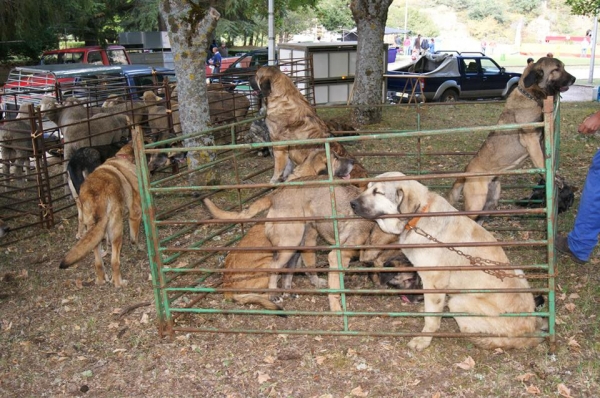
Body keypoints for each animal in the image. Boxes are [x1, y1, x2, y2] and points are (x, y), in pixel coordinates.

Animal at [352, 169, 548, 350]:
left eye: (378, 192)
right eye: (368, 188)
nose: (351, 203)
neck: (418, 217)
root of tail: (530, 328)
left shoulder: (434, 281)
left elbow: (431, 318)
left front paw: (423, 339)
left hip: (460, 301)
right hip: (518, 271)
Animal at [448, 57, 576, 222]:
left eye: (563, 67)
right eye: (556, 69)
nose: (574, 79)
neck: (530, 95)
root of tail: (465, 172)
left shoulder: (540, 141)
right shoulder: (531, 140)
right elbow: (541, 161)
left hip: (491, 202)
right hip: (476, 203)